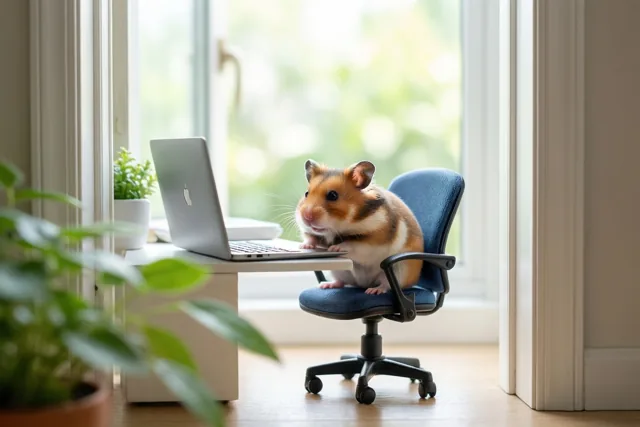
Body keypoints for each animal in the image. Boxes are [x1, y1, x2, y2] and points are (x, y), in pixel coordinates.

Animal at [295, 159, 424, 295]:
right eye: (306, 193)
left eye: (333, 195)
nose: (306, 217)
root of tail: (363, 284)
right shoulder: (312, 233)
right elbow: (311, 238)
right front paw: (304, 246)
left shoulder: (374, 241)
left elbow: (353, 244)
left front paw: (335, 248)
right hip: (339, 271)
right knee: (341, 281)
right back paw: (326, 285)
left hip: (399, 270)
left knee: (386, 285)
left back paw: (373, 291)